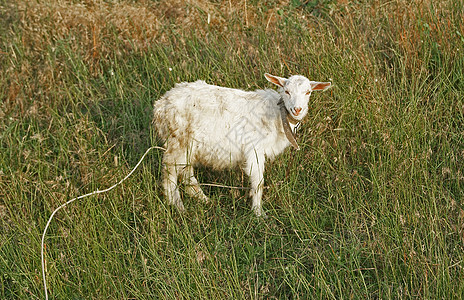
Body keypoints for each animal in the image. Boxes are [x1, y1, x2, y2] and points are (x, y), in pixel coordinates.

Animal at [152, 74, 330, 217]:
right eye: (287, 91)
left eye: (308, 92)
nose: (297, 109)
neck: (277, 114)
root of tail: (160, 105)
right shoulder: (255, 149)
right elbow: (259, 183)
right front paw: (259, 213)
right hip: (178, 141)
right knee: (170, 173)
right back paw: (178, 206)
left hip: (188, 145)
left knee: (186, 173)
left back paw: (203, 200)